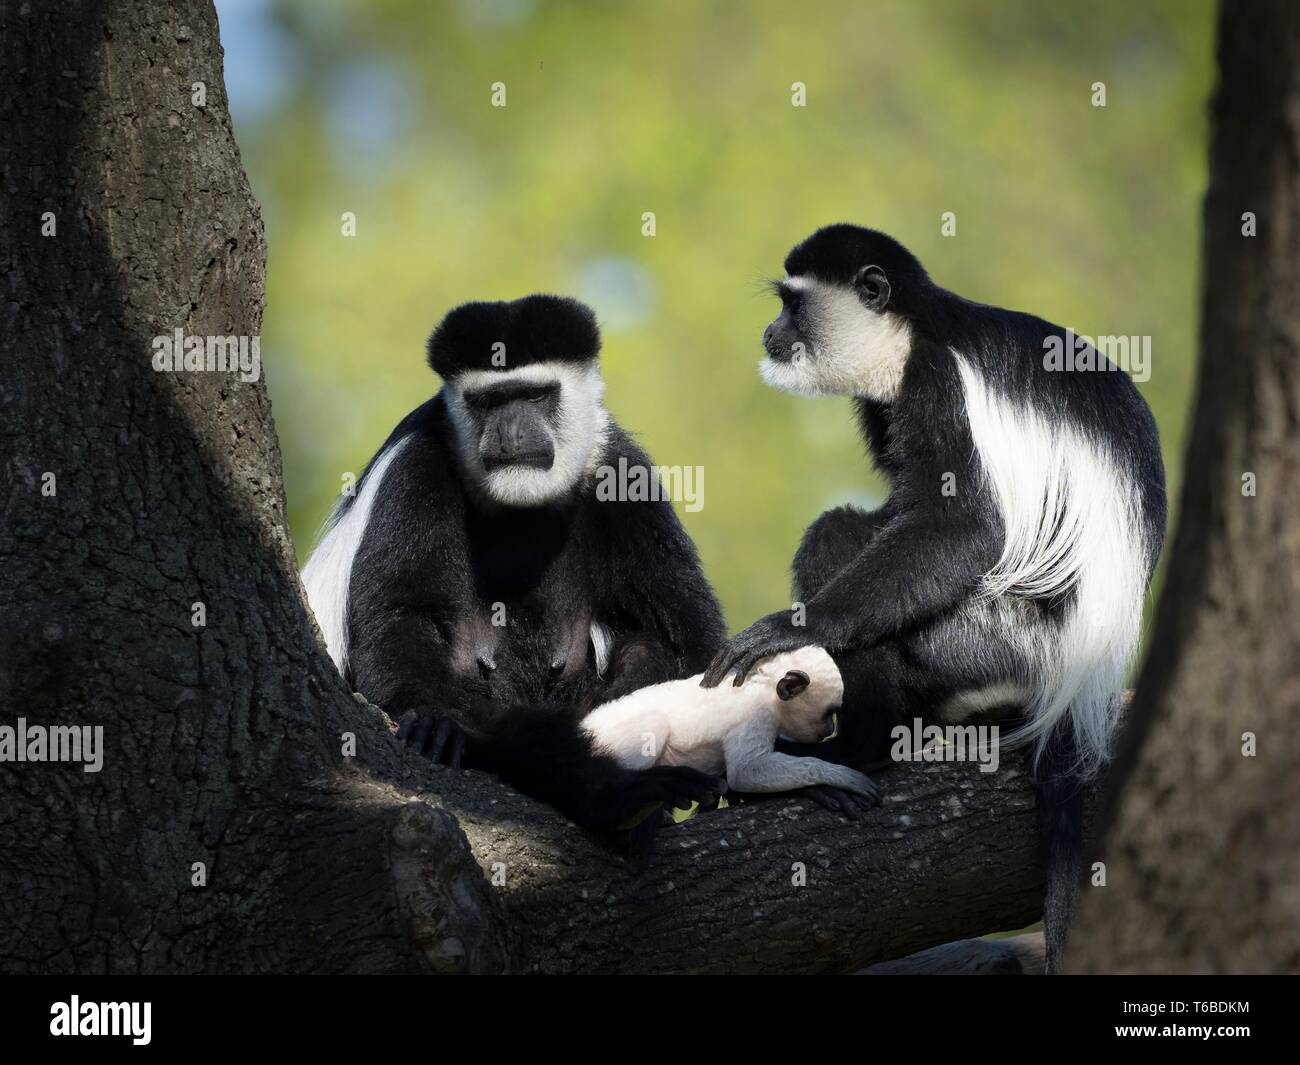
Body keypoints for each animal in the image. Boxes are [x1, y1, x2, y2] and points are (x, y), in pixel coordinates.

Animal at [301, 293, 733, 832]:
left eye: (534, 395)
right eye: (488, 402)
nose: (509, 432)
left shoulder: (622, 472)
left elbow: (690, 637)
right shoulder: (416, 469)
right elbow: (399, 615)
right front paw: (436, 724)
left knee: (647, 645)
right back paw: (615, 794)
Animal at [582, 644, 878, 806]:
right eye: (828, 713)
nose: (829, 729)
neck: (762, 685)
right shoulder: (754, 714)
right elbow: (746, 771)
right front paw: (837, 776)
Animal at [707, 227, 1175, 972]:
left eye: (792, 305)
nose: (770, 333)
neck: (912, 331)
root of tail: (1085, 669)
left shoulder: (936, 382)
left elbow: (965, 526)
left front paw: (796, 628)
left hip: (994, 640)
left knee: (840, 538)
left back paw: (861, 749)